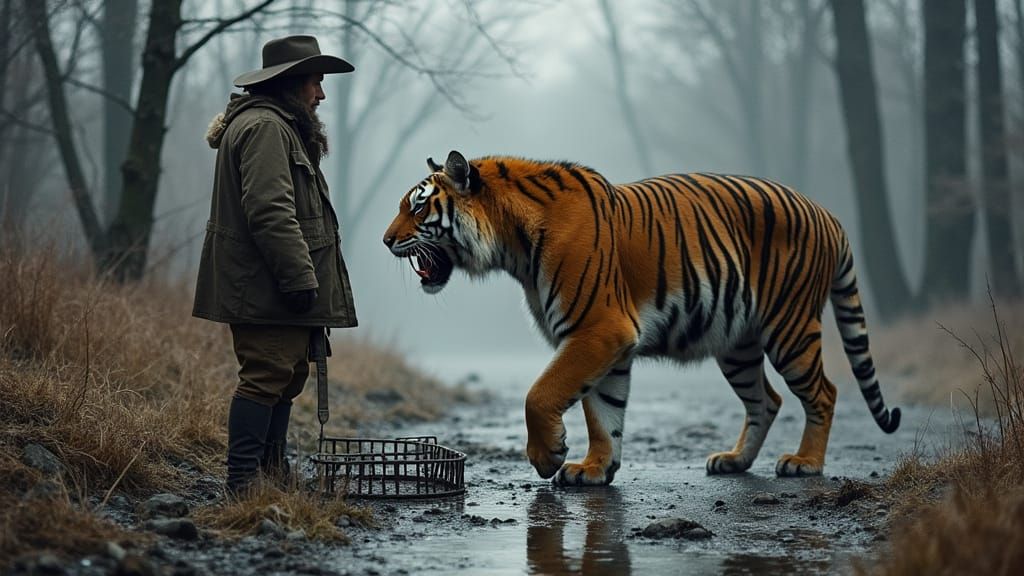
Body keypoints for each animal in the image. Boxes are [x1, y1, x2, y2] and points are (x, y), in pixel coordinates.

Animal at [383, 150, 901, 486]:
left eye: (419, 206)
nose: (386, 241)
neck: (513, 248)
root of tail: (827, 213)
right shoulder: (604, 342)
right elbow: (603, 411)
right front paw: (595, 469)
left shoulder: (597, 329)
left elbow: (541, 394)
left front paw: (548, 456)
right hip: (737, 343)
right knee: (766, 400)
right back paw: (734, 460)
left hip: (790, 327)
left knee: (824, 392)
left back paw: (805, 463)